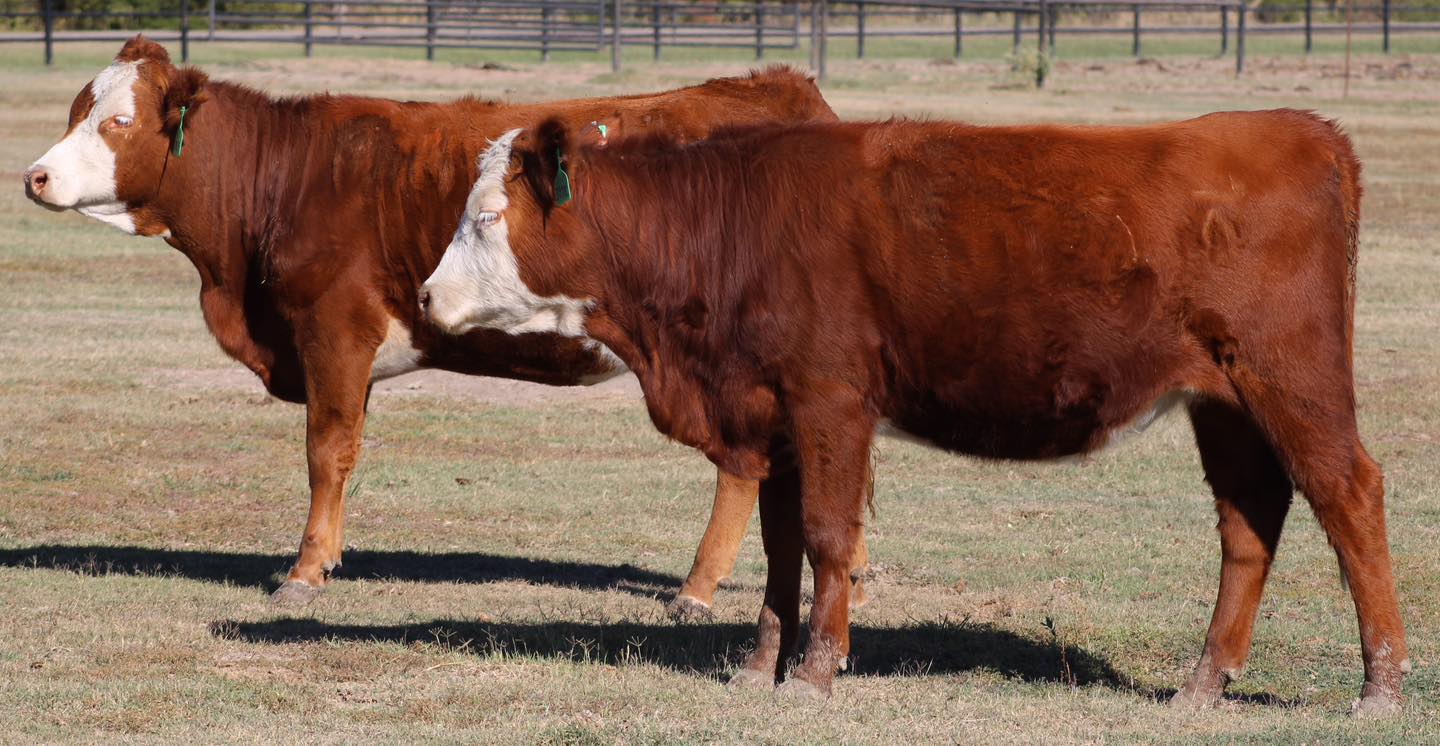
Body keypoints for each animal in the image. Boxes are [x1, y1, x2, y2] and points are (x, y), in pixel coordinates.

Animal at [420, 113, 1411, 717]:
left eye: (486, 216)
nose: (426, 296)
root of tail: (1300, 131)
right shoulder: (773, 416)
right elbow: (781, 549)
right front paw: (759, 668)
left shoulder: (829, 400)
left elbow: (828, 537)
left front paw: (817, 673)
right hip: (1225, 403)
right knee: (1250, 523)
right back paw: (1203, 683)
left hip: (1293, 380)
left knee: (1350, 496)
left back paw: (1382, 685)